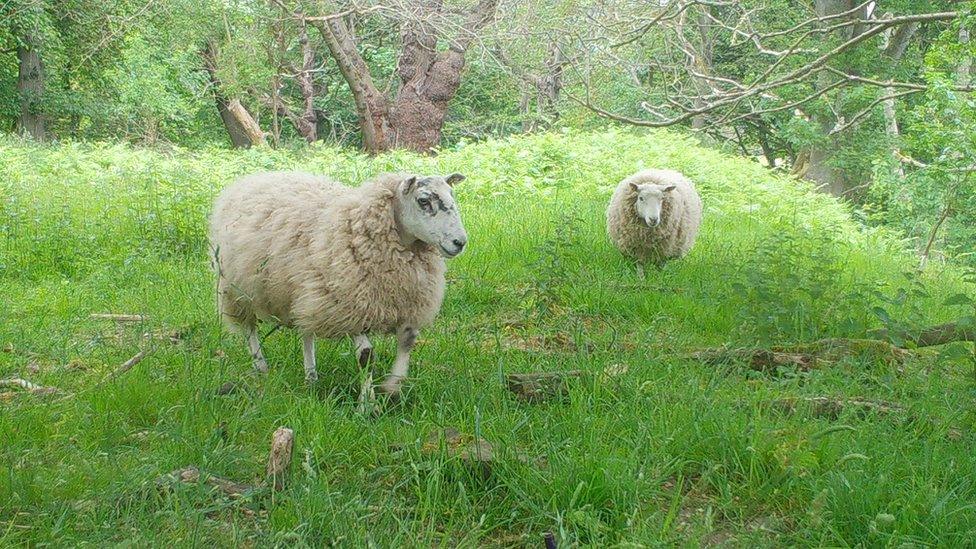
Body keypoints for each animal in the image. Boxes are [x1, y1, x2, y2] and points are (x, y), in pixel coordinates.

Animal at [208, 170, 468, 406]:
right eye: (423, 201)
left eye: (452, 195)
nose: (460, 243)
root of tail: (252, 178)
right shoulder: (351, 305)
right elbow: (366, 355)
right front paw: (368, 404)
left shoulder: (406, 307)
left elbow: (408, 342)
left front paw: (393, 386)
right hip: (237, 289)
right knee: (249, 328)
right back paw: (260, 365)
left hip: (305, 291)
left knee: (306, 330)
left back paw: (311, 376)